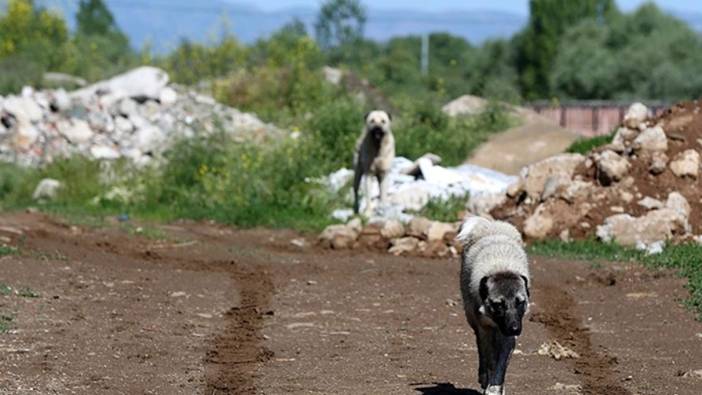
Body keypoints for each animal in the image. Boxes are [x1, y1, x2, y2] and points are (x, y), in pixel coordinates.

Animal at [460, 217, 532, 395]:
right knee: (481, 351)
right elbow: (490, 359)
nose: (514, 329)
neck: (502, 268)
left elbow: (501, 364)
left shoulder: (508, 336)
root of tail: (490, 224)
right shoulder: (484, 328)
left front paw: (496, 387)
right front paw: (488, 384)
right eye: (498, 304)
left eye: (520, 302)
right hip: (473, 321)